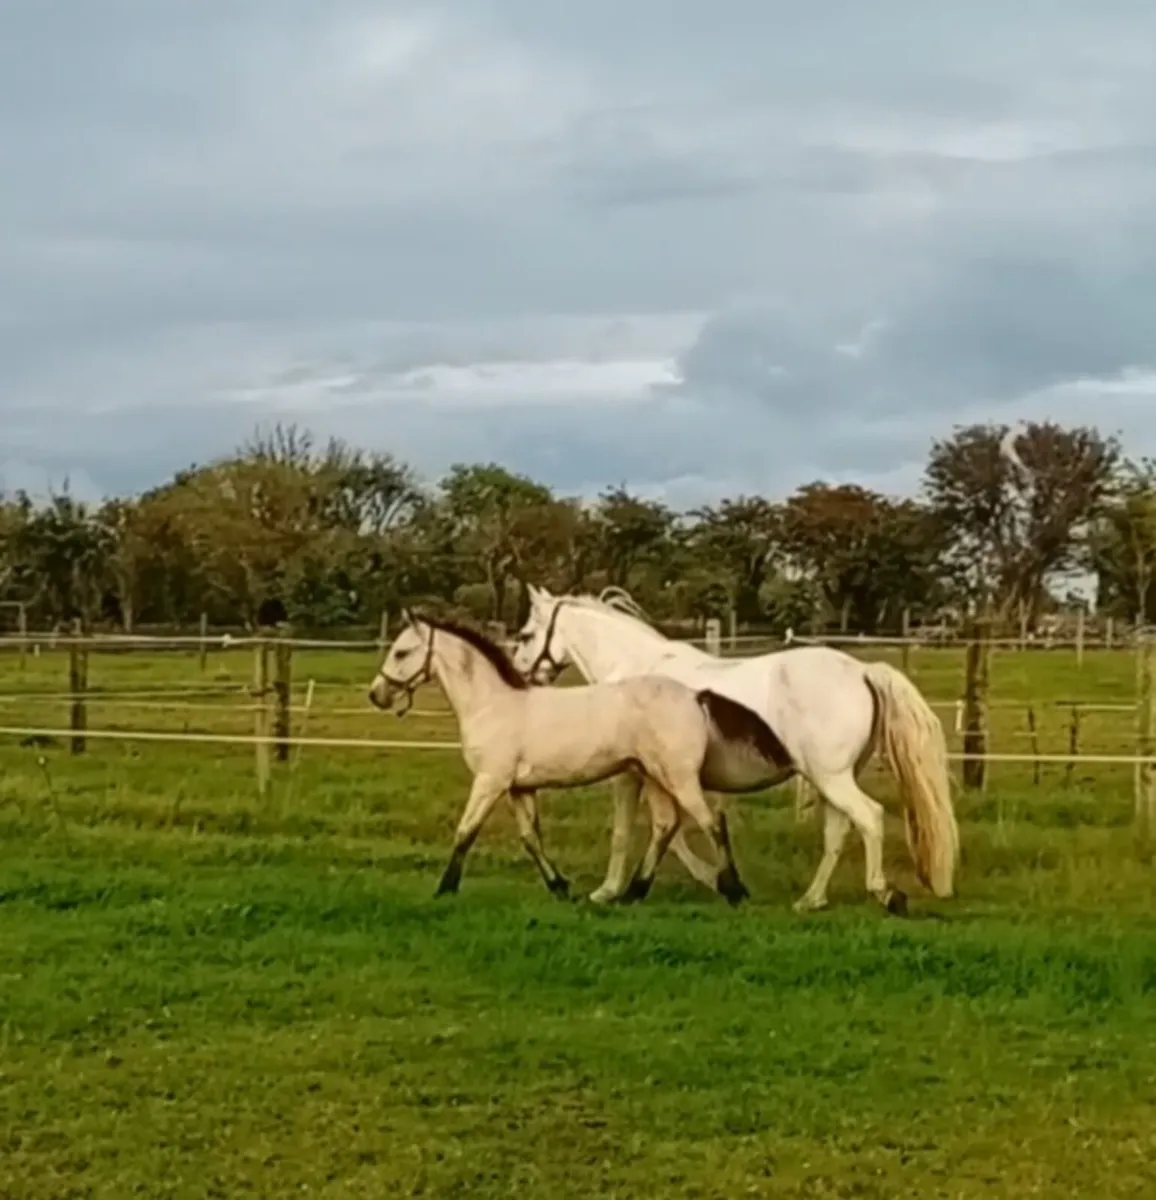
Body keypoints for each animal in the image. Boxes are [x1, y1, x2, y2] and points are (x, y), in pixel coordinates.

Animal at [367, 609, 764, 904]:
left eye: (401, 652)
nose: (376, 694)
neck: (491, 705)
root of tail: (695, 695)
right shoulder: (519, 788)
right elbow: (531, 838)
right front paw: (560, 887)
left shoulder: (490, 781)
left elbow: (465, 831)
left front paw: (445, 889)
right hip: (655, 778)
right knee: (667, 826)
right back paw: (633, 893)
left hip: (678, 778)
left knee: (711, 824)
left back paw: (734, 891)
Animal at [508, 585, 959, 915]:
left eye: (526, 635)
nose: (520, 678)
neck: (635, 672)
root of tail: (864, 671)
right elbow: (673, 832)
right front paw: (713, 879)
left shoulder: (632, 774)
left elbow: (636, 833)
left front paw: (608, 891)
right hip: (831, 778)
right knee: (839, 830)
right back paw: (810, 900)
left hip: (831, 777)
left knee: (870, 817)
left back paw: (885, 893)